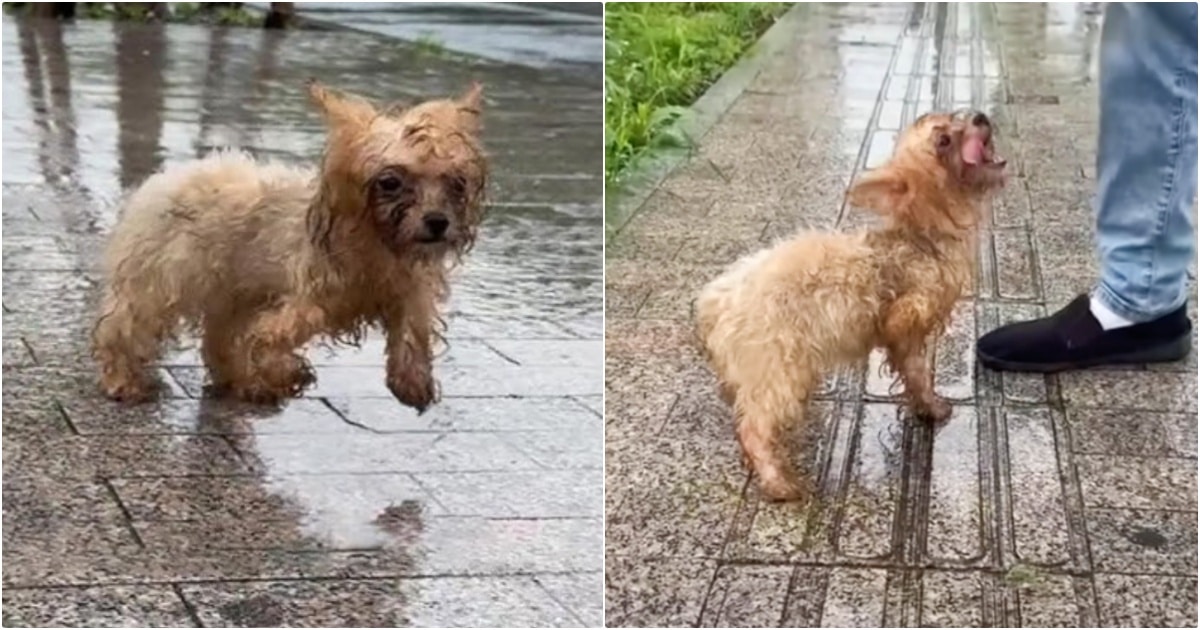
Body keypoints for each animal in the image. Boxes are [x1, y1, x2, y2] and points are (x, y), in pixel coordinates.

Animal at [91, 79, 489, 408]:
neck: (377, 243)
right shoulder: (308, 300)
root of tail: (166, 178)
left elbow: (412, 330)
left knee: (220, 338)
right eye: (390, 182)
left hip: (234, 290)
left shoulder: (404, 289)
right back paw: (123, 379)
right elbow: (271, 337)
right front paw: (287, 373)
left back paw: (240, 382)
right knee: (124, 327)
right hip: (163, 280)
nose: (437, 222)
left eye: (456, 183)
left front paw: (411, 381)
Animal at [700, 109, 1008, 501]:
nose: (980, 115)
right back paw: (777, 481)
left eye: (954, 116)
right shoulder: (905, 321)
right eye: (943, 141)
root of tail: (715, 303)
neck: (924, 239)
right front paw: (932, 407)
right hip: (777, 368)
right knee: (754, 427)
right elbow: (918, 372)